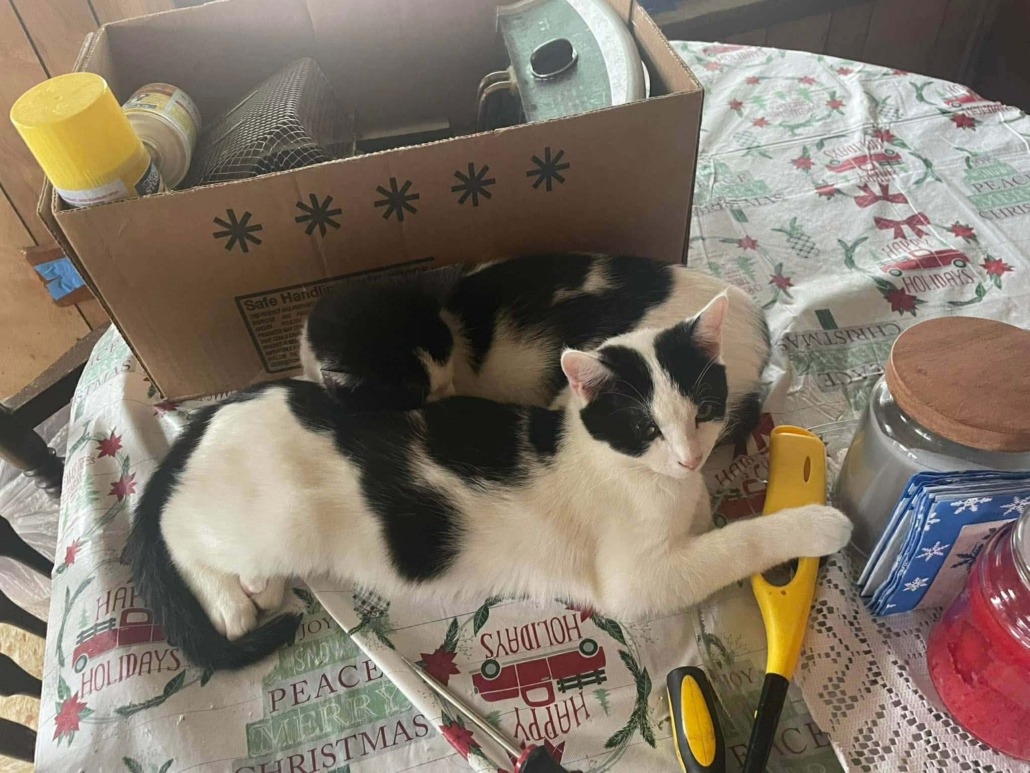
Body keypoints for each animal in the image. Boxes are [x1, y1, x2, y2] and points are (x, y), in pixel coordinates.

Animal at [126, 293, 852, 672]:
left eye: (703, 409)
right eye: (645, 426)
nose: (688, 457)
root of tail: (225, 407)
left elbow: (711, 521)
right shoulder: (641, 579)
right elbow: (737, 541)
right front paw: (815, 522)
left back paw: (261, 585)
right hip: (272, 518)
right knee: (175, 530)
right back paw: (230, 602)